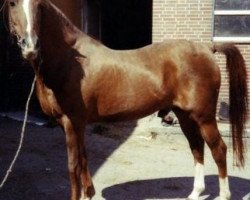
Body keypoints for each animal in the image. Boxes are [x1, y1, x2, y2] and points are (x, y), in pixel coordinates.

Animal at [6, 0, 247, 200]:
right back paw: (195, 193)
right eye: (12, 3)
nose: (30, 46)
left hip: (204, 117)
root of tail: (207, 48)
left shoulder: (71, 122)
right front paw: (89, 193)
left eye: (39, 5)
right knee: (197, 148)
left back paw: (224, 195)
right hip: (185, 116)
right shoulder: (78, 125)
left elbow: (73, 165)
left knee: (218, 149)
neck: (70, 61)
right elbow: (83, 159)